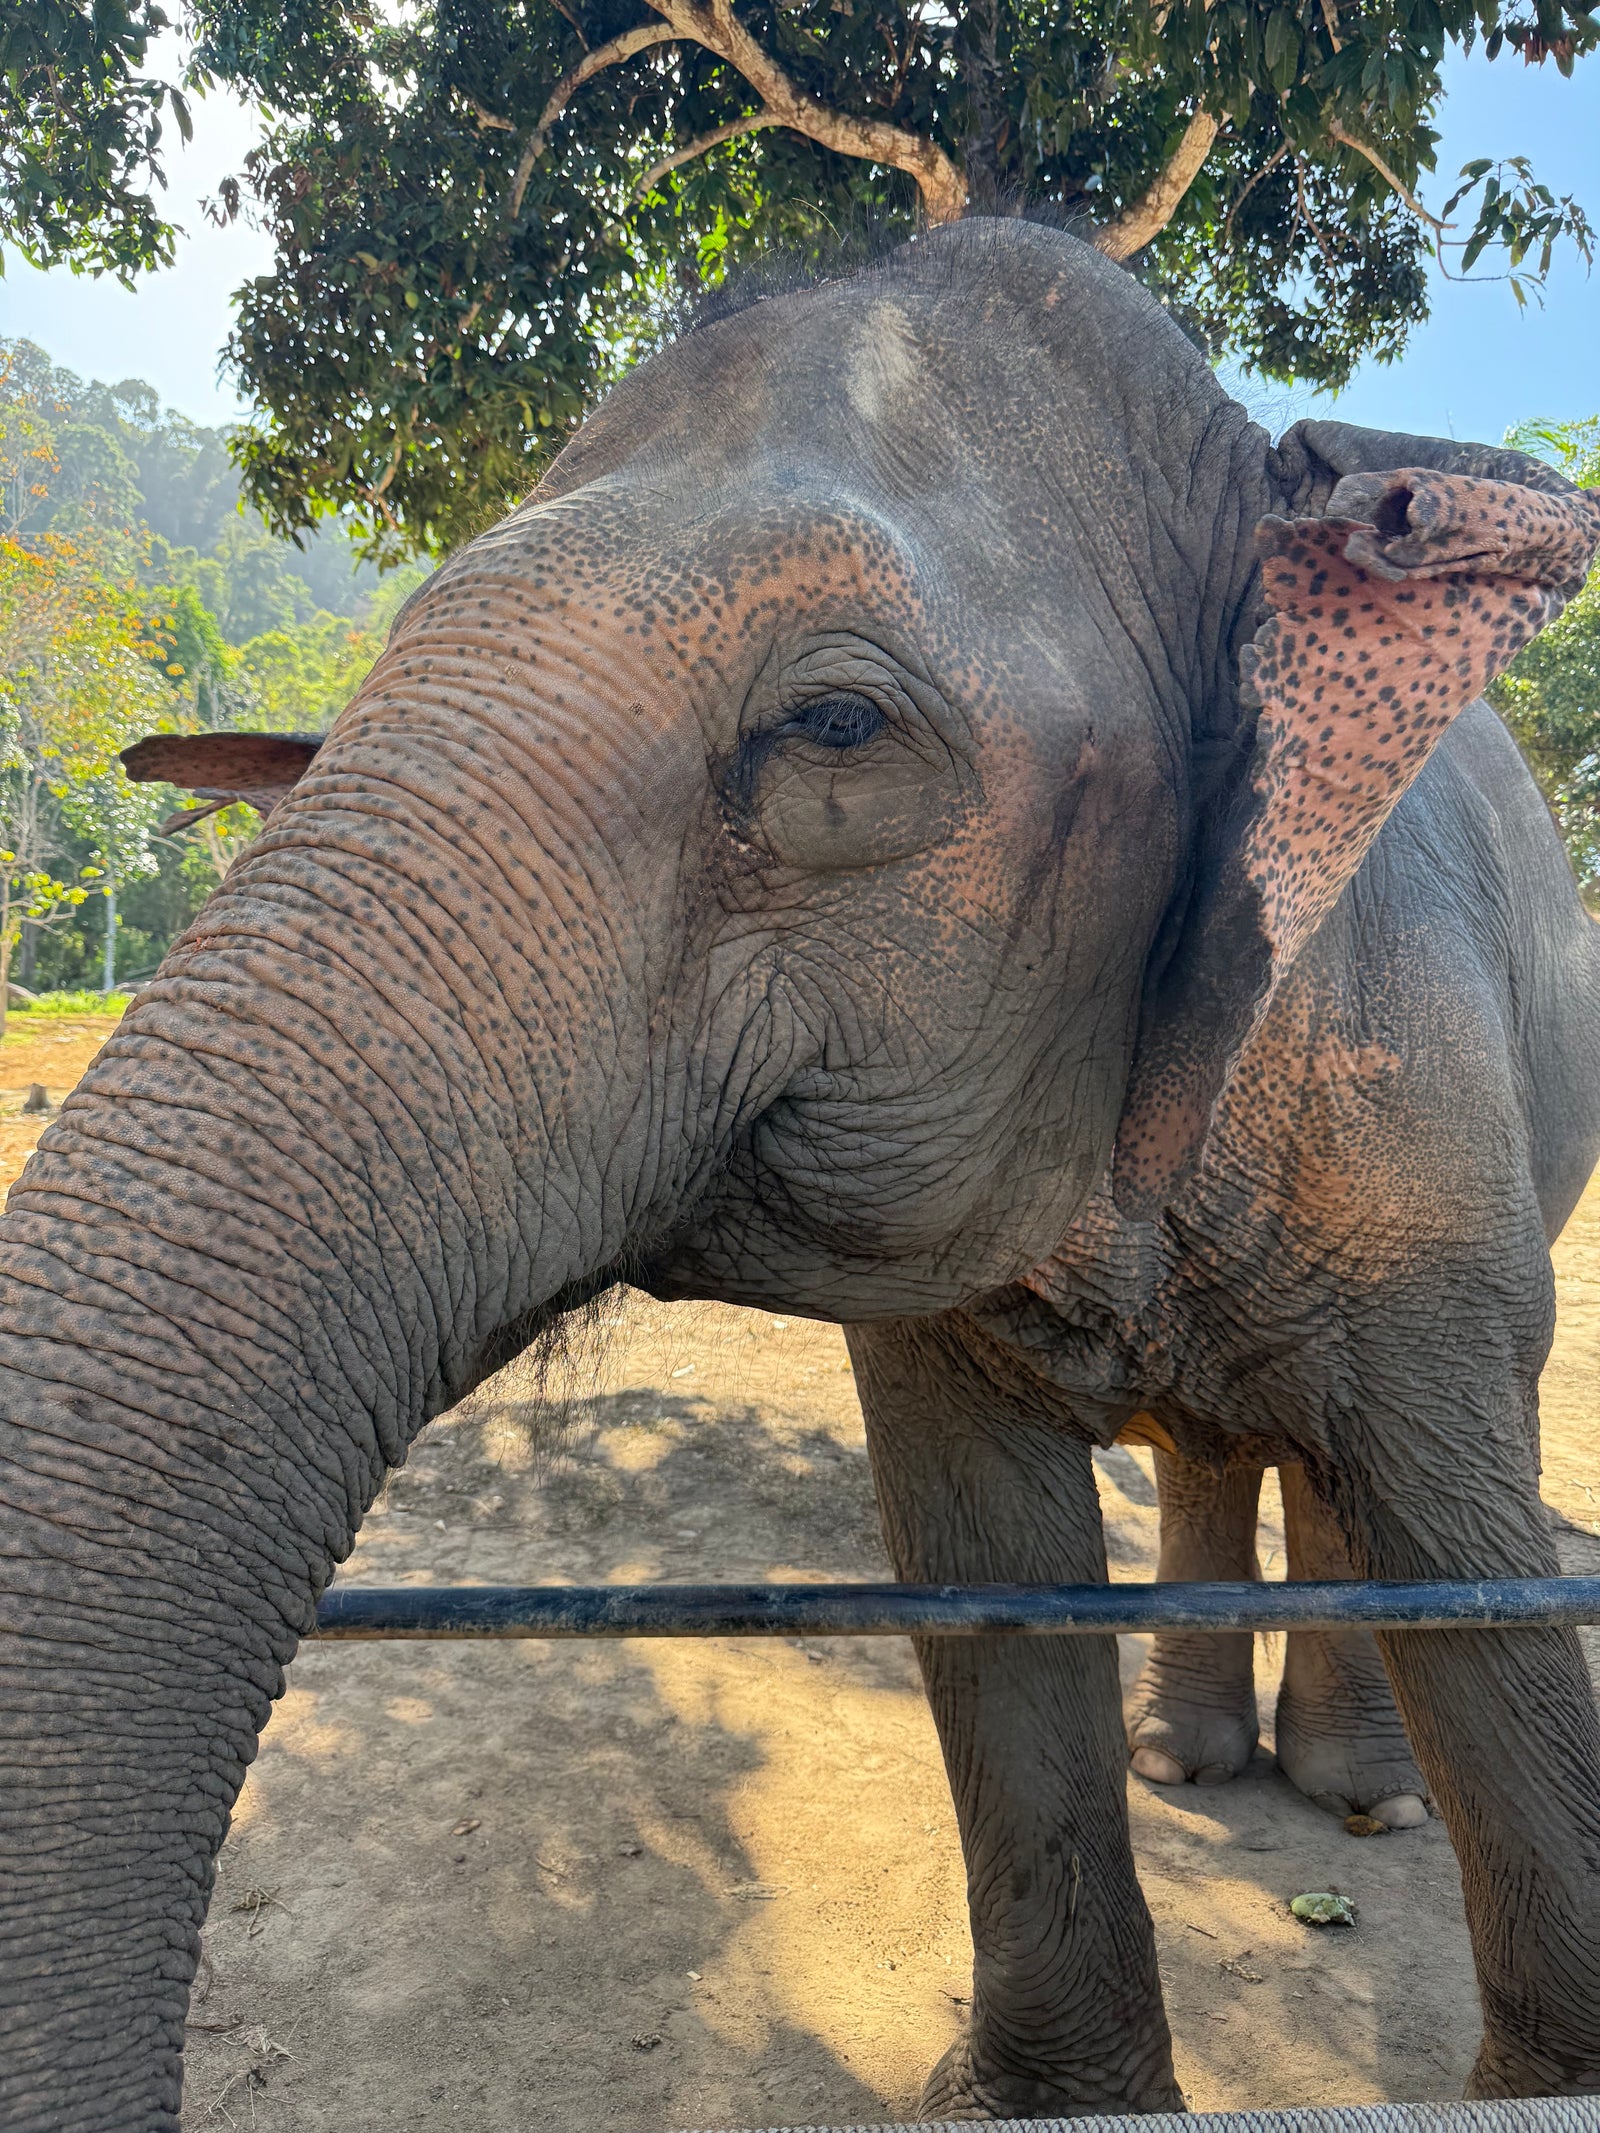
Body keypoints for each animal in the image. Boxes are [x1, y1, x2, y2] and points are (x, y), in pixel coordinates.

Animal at [5, 217, 1600, 2129]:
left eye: (836, 726)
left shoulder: (1424, 1129)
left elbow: (1477, 1570)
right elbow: (985, 1573)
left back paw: (1357, 1792)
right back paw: (1188, 1760)